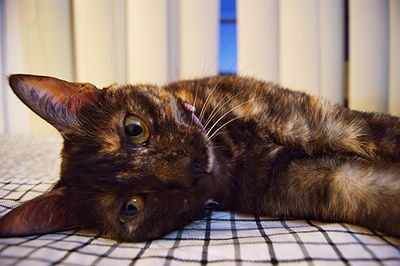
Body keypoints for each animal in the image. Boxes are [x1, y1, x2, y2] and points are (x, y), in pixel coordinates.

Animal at [0, 74, 400, 242]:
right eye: (130, 207)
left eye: (134, 128)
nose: (190, 169)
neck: (231, 151)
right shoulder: (324, 180)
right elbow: (377, 190)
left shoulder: (331, 124)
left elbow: (387, 133)